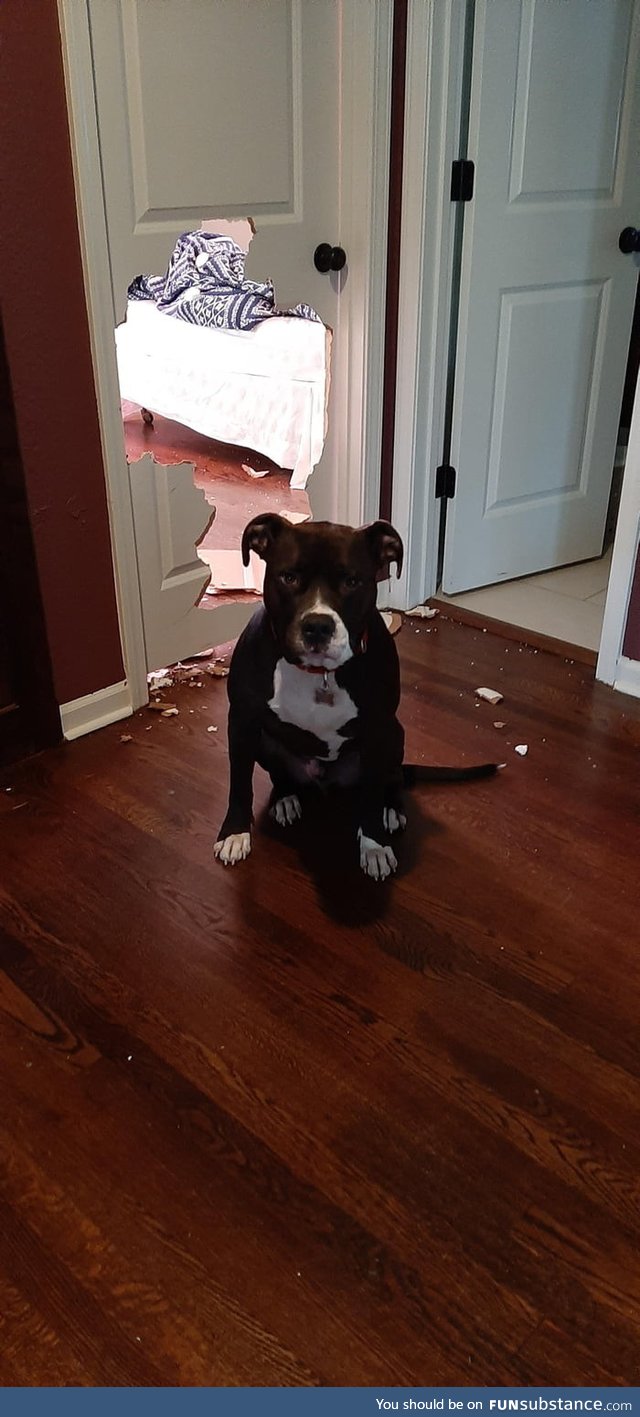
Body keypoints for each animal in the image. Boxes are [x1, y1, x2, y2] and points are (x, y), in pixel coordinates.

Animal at [212, 515, 498, 878]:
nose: (317, 626)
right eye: (288, 577)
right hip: (266, 742)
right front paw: (235, 833)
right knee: (281, 775)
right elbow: (239, 782)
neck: (318, 673)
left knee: (390, 779)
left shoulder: (377, 730)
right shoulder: (242, 721)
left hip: (395, 735)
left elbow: (373, 793)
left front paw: (374, 845)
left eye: (352, 581)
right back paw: (285, 798)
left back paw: (390, 809)